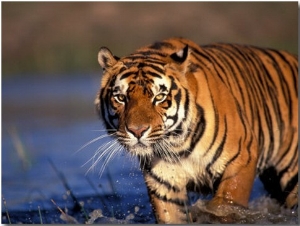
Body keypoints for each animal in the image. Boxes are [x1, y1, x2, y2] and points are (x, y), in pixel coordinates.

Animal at [94, 38, 298, 223]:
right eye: (120, 98)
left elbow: (225, 205)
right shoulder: (163, 181)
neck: (177, 145)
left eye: (159, 97)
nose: (137, 131)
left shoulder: (242, 157)